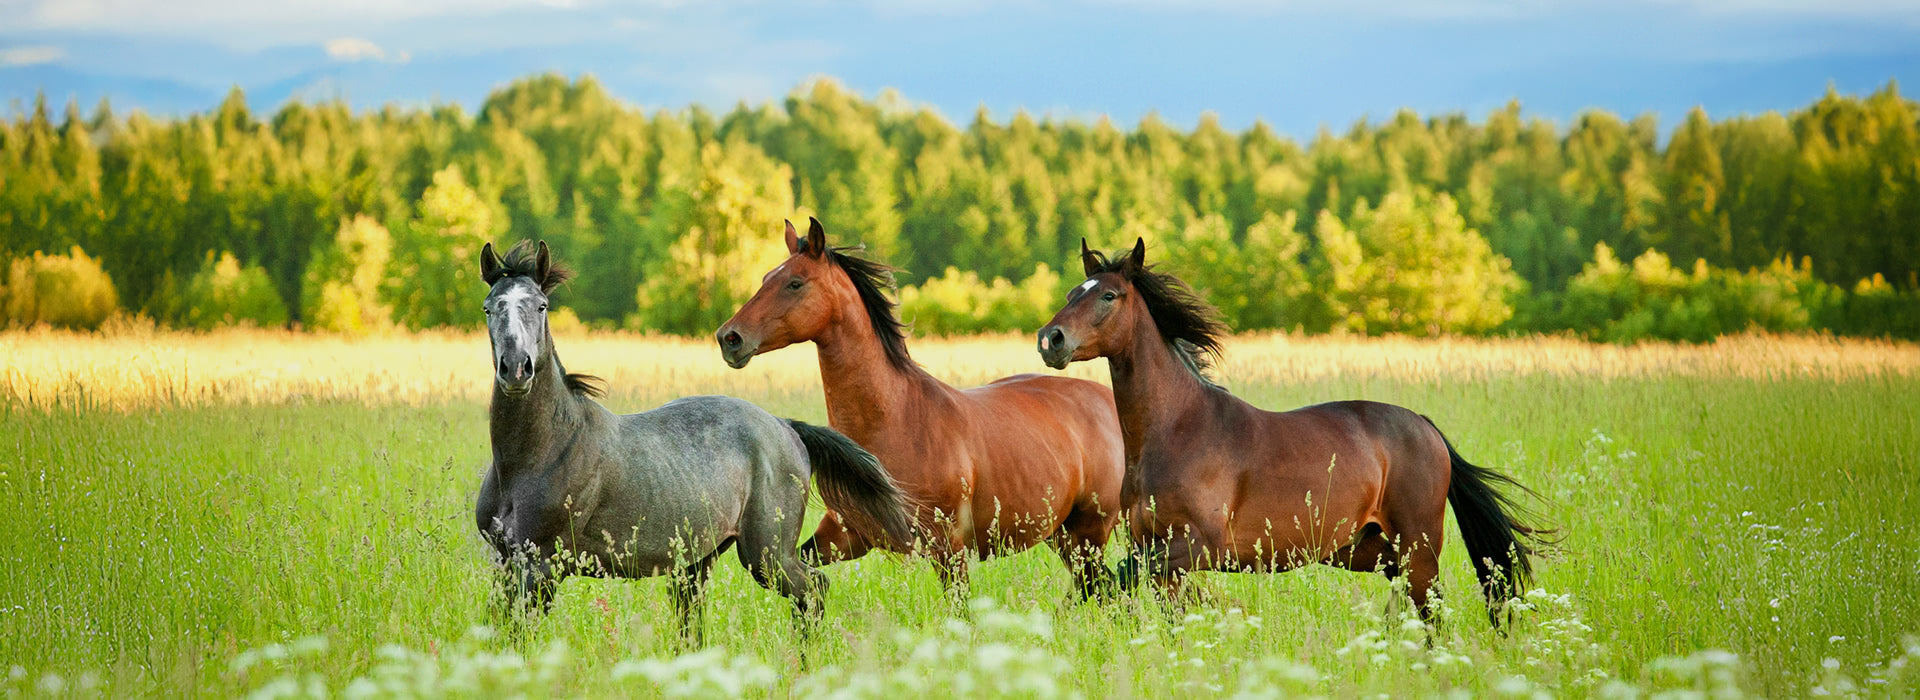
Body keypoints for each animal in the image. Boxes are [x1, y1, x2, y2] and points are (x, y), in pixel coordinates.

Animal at [472, 240, 914, 643]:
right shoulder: (506, 562)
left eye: (541, 305)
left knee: (814, 591)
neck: (538, 455)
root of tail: (786, 427)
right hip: (697, 563)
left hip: (767, 554)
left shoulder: (542, 565)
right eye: (489, 307)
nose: (516, 369)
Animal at [714, 218, 1127, 598]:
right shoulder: (845, 535)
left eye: (795, 283)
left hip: (1089, 532)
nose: (729, 338)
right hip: (1063, 536)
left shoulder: (948, 547)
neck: (896, 419)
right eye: (766, 277)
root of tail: (1107, 401)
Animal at [1035, 238, 1550, 626]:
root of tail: (1426, 427)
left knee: (1434, 616)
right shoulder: (1153, 549)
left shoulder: (1197, 547)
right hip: (1370, 551)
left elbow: (1117, 578)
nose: (1050, 340)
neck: (1176, 431)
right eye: (1071, 293)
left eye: (1108, 296)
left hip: (1417, 549)